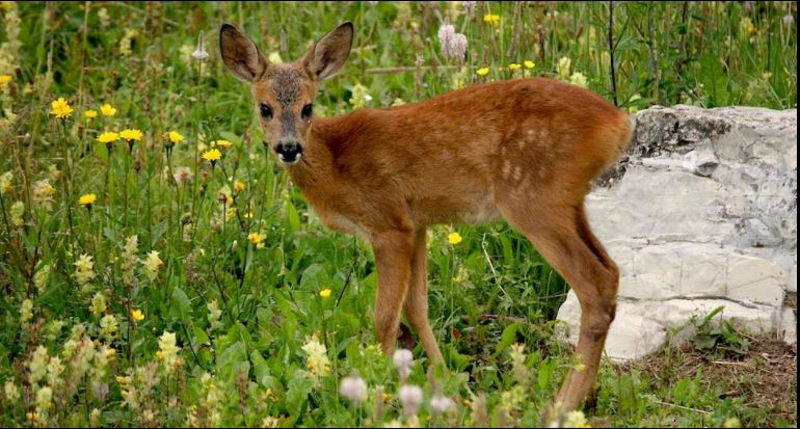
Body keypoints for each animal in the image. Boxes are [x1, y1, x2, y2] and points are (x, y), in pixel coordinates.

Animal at [219, 21, 632, 410]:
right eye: (265, 108)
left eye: (308, 107)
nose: (288, 147)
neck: (335, 163)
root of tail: (619, 123)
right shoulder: (416, 225)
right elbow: (416, 306)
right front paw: (447, 384)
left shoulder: (387, 222)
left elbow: (385, 317)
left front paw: (379, 393)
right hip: (569, 202)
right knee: (611, 271)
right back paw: (584, 396)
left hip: (533, 199)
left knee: (594, 283)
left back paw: (563, 403)